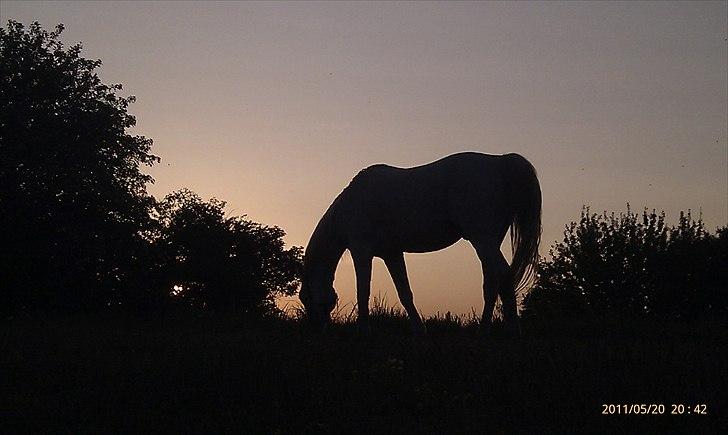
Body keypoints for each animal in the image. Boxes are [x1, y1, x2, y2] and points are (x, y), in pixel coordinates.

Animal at [296, 152, 540, 336]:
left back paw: (513, 331)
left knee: (504, 274)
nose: (315, 330)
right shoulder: (392, 253)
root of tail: (499, 162)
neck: (350, 207)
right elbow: (405, 292)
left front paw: (364, 331)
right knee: (491, 283)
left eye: (305, 298)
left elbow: (362, 291)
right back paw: (484, 331)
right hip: (489, 242)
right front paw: (419, 330)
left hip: (483, 240)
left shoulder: (361, 251)